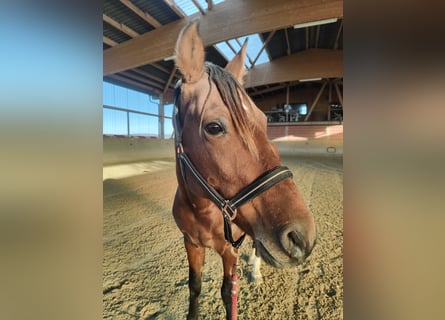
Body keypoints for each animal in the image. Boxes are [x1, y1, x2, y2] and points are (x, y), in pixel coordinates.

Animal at [171, 21, 316, 318]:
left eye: (264, 120)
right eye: (214, 127)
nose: (302, 237)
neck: (201, 209)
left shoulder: (230, 251)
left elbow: (229, 294)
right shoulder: (191, 243)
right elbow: (195, 287)